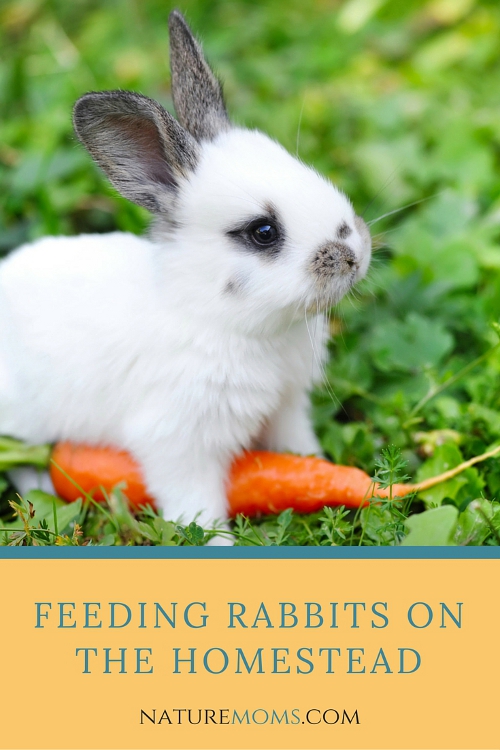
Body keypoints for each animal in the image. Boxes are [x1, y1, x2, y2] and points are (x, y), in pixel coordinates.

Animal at [0, 10, 370, 540]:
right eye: (263, 232)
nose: (354, 252)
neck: (220, 318)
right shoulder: (178, 443)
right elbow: (196, 504)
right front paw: (219, 543)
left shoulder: (286, 408)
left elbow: (297, 451)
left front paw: (318, 470)